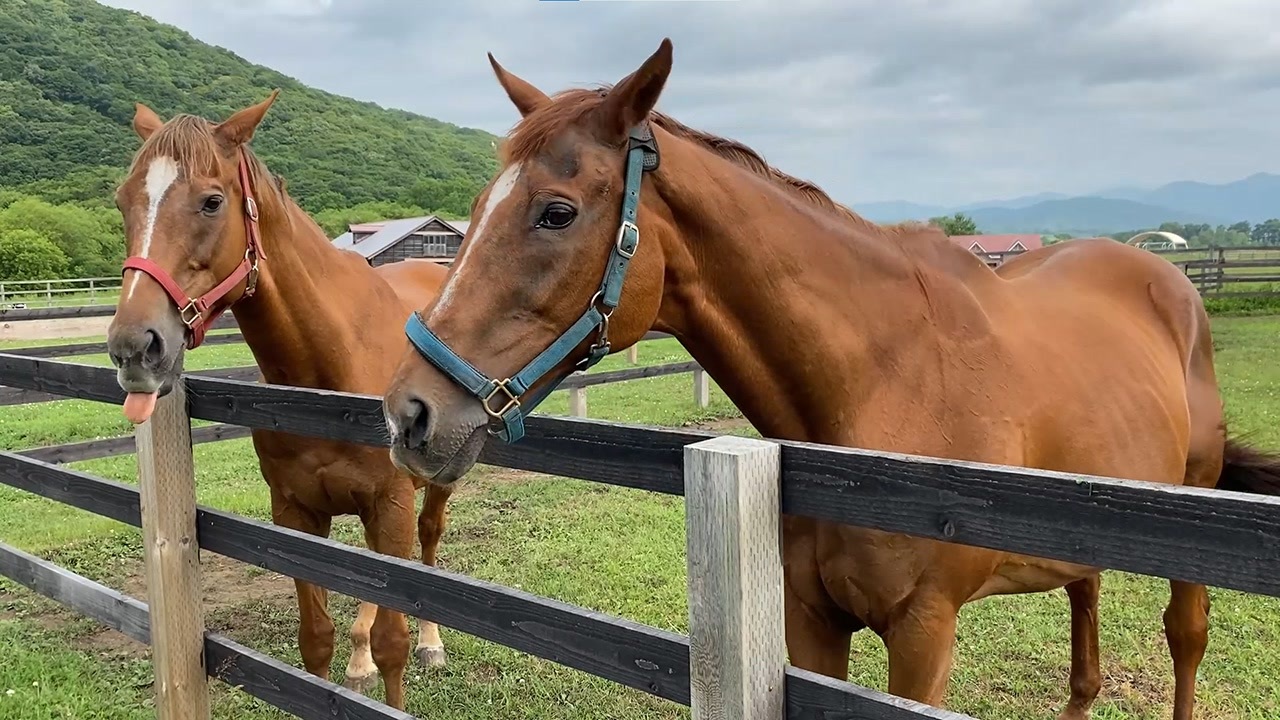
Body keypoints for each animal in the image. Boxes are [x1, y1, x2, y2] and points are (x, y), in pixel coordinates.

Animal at [106, 89, 455, 707]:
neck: (329, 371)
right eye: (124, 202)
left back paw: (432, 642)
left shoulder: (389, 505)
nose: (133, 348)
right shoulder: (295, 513)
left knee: (429, 542)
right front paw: (348, 661)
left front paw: (394, 656)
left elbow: (394, 643)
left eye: (212, 202)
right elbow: (316, 639)